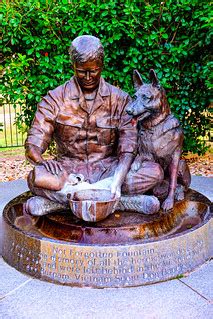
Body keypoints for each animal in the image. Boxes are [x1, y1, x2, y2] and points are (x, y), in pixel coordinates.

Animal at [125, 70, 191, 214]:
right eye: (134, 96)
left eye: (145, 97)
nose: (128, 110)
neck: (154, 127)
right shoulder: (149, 154)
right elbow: (140, 156)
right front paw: (135, 164)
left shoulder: (175, 156)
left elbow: (173, 182)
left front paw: (168, 202)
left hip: (182, 164)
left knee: (183, 186)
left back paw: (179, 193)